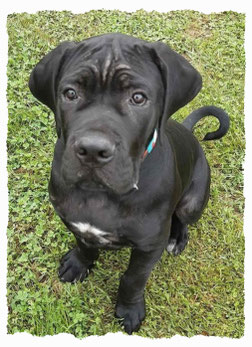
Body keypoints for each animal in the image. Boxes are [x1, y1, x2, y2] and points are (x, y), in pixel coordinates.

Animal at [28, 34, 229, 336]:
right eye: (71, 93)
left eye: (138, 98)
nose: (92, 150)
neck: (100, 194)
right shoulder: (73, 220)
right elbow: (85, 245)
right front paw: (78, 264)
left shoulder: (149, 246)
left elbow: (133, 278)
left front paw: (129, 310)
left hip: (193, 201)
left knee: (182, 218)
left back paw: (177, 237)